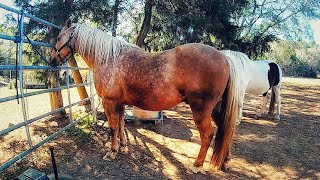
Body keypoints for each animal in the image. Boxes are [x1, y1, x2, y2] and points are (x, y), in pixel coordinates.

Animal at [49, 20, 240, 173]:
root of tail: (224, 58)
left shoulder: (109, 102)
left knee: (207, 134)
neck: (109, 58)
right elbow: (121, 124)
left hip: (201, 109)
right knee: (225, 130)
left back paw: (196, 166)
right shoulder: (120, 103)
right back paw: (224, 161)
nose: (52, 61)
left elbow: (112, 127)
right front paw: (123, 146)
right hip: (216, 109)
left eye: (58, 38)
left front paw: (111, 152)